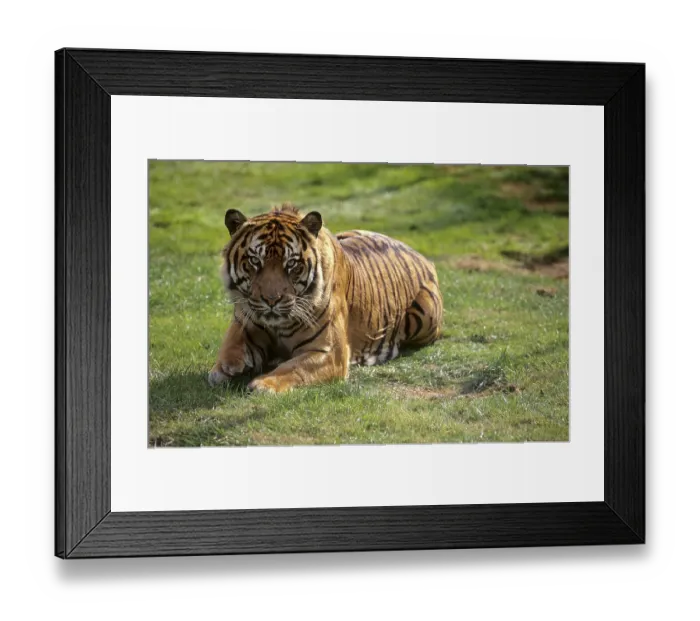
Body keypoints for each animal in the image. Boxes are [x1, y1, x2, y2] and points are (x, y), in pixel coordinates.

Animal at [208, 203, 443, 393]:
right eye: (255, 261)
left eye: (291, 264)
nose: (271, 300)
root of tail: (423, 257)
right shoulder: (244, 317)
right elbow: (231, 340)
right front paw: (226, 366)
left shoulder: (329, 352)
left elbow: (293, 367)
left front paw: (264, 384)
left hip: (425, 316)